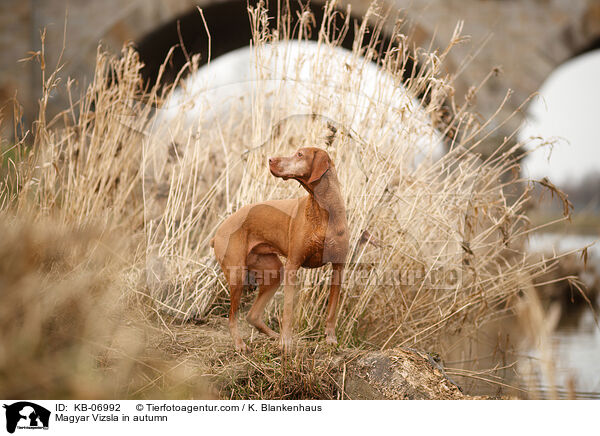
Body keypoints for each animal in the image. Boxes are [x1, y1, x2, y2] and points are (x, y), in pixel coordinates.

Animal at [212, 148, 350, 352]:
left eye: (300, 154)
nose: (270, 159)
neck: (323, 210)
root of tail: (218, 231)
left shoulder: (338, 267)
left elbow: (332, 310)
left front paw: (331, 338)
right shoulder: (293, 265)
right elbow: (288, 310)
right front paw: (286, 342)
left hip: (274, 271)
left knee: (252, 315)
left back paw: (273, 336)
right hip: (237, 275)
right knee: (232, 316)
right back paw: (240, 344)